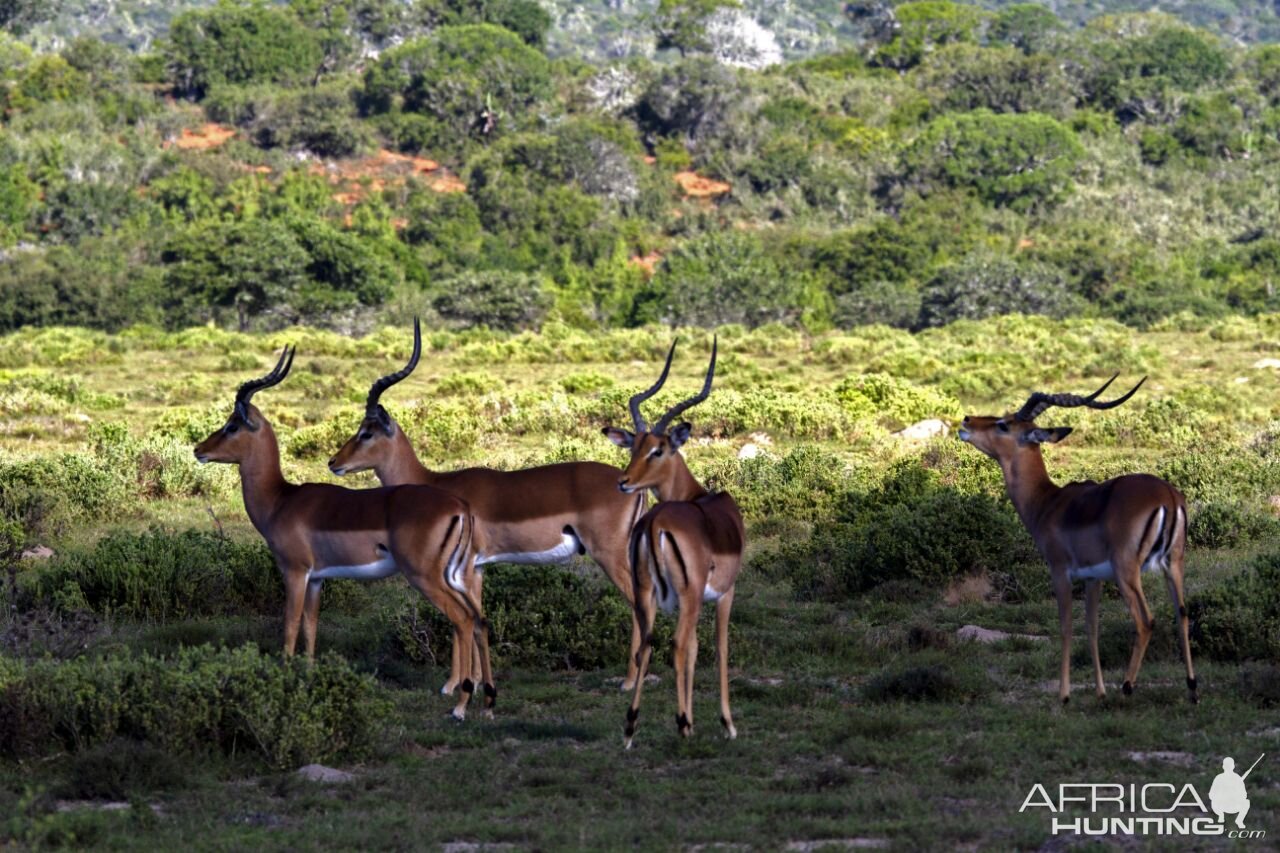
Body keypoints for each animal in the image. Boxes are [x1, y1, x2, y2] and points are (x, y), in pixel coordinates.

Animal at [194, 345, 494, 717]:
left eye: (232, 425)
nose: (198, 449)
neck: (280, 499)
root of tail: (459, 507)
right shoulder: (317, 579)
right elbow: (310, 626)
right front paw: (308, 675)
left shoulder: (295, 572)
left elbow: (290, 624)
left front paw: (284, 678)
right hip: (456, 576)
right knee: (479, 619)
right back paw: (486, 701)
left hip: (425, 577)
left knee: (463, 620)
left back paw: (460, 706)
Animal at [327, 317, 650, 691]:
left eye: (366, 432)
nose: (333, 462)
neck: (436, 482)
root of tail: (632, 483)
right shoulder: (477, 568)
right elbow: (477, 616)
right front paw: (477, 681)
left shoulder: (462, 568)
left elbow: (460, 621)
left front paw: (454, 684)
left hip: (608, 553)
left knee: (638, 603)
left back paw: (630, 681)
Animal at [601, 338, 747, 742]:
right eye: (634, 446)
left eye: (656, 448)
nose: (623, 481)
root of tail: (655, 524)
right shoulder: (724, 594)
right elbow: (718, 648)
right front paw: (726, 723)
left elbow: (696, 649)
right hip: (690, 594)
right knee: (678, 645)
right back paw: (681, 726)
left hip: (646, 592)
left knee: (648, 644)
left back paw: (631, 727)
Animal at [962, 376, 1198, 701]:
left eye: (1004, 424)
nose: (966, 421)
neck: (1047, 502)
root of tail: (1169, 497)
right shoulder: (1093, 578)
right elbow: (1092, 627)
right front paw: (1099, 691)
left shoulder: (1060, 571)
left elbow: (1066, 627)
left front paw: (1064, 694)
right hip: (1173, 564)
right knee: (1182, 614)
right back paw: (1192, 688)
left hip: (1127, 572)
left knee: (1145, 621)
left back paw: (1127, 686)